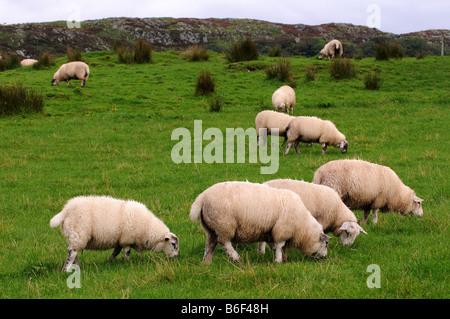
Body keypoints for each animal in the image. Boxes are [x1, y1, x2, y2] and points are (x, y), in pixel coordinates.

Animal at [49, 195, 179, 272]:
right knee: (72, 252)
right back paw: (66, 269)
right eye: (173, 244)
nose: (176, 257)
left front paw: (109, 262)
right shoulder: (127, 240)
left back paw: (78, 266)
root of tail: (66, 210)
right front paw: (127, 263)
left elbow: (115, 252)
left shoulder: (119, 240)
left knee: (73, 251)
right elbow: (126, 252)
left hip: (75, 236)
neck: (148, 228)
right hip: (78, 233)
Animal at [190, 181, 330, 264]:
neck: (302, 225)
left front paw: (284, 258)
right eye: (326, 243)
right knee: (224, 243)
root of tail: (202, 197)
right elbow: (280, 246)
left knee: (210, 245)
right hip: (224, 225)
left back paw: (207, 262)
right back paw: (236, 258)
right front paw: (278, 260)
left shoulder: (273, 231)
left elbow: (278, 246)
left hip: (211, 227)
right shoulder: (282, 229)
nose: (324, 257)